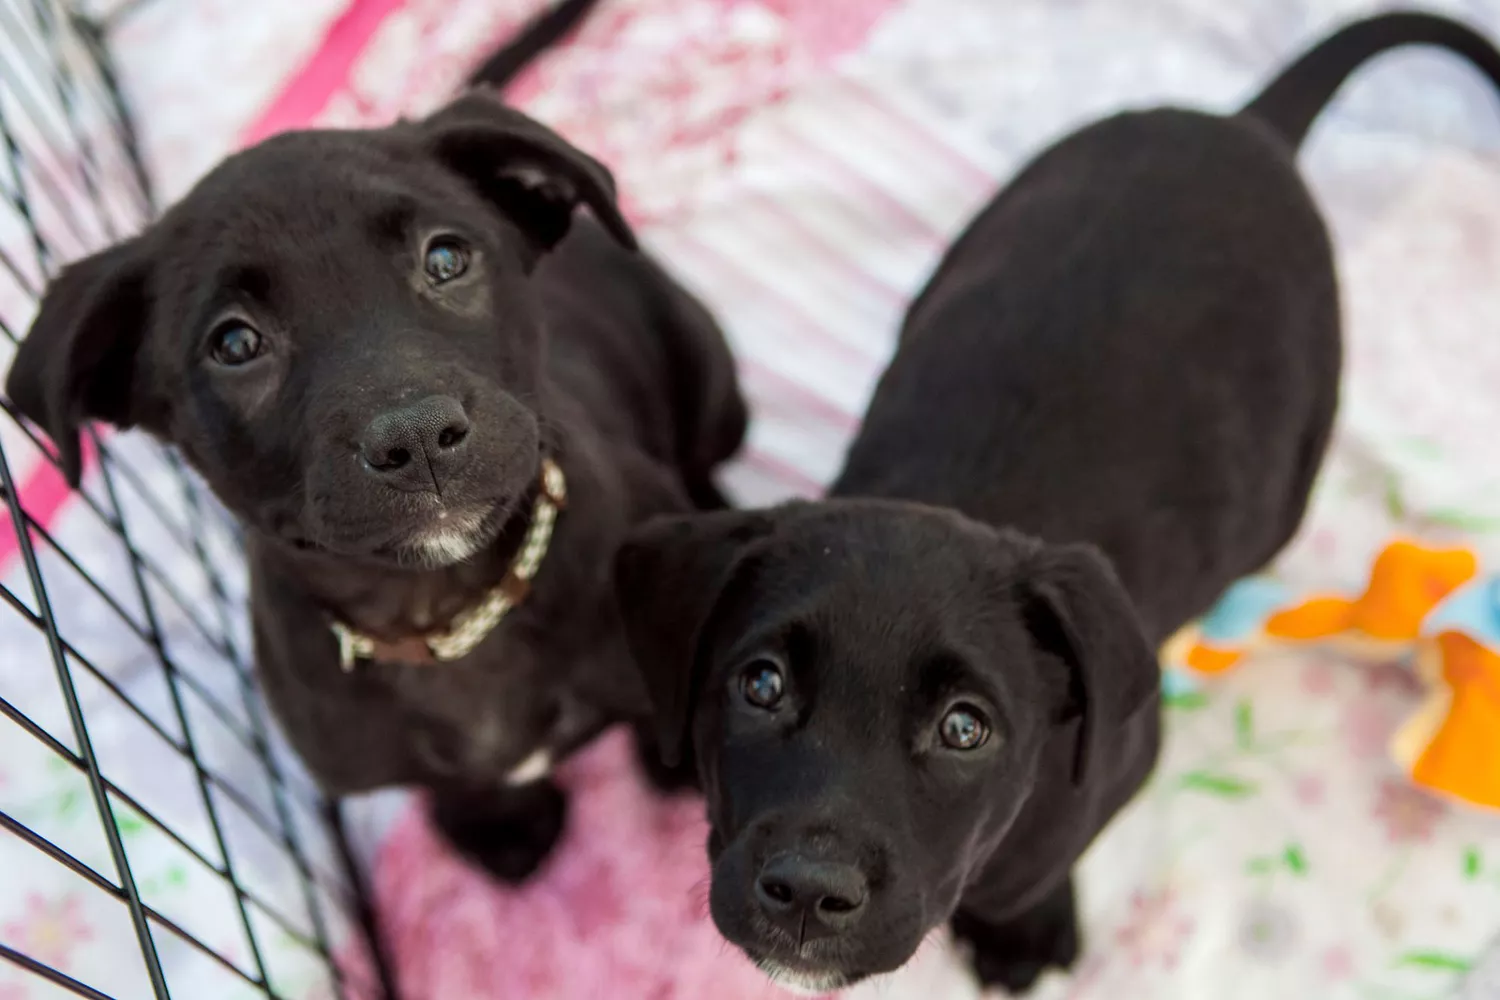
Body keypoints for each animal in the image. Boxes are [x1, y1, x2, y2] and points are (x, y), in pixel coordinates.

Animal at [4, 0, 744, 875]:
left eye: (447, 257)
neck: (443, 610)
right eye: (234, 344)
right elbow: (453, 785)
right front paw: (499, 825)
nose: (417, 437)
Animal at [612, 11, 1500, 995]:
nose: (808, 890)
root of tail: (1245, 125)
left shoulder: (1118, 765)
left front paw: (1023, 928)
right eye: (760, 684)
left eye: (966, 729)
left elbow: (1036, 868)